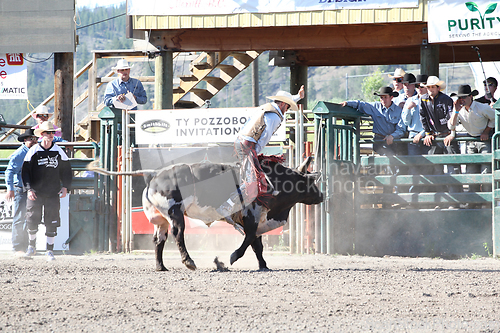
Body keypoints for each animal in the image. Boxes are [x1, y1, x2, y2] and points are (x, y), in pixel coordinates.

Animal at [90, 156, 324, 270]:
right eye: (311, 182)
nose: (321, 196)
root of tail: (155, 174)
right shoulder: (250, 217)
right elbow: (249, 240)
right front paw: (232, 257)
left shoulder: (257, 220)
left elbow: (257, 245)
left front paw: (264, 266)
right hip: (175, 213)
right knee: (178, 234)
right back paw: (188, 262)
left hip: (160, 219)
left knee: (159, 240)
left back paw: (161, 266)